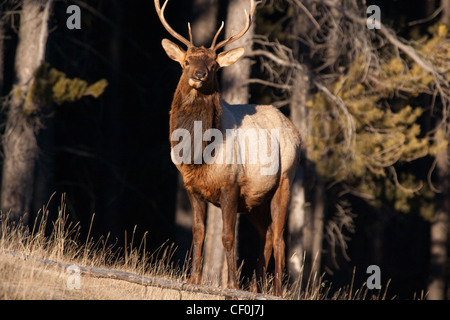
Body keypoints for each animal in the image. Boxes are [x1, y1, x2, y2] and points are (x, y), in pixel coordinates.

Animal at [153, 0, 300, 296]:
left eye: (213, 65)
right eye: (186, 62)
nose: (199, 75)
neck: (198, 154)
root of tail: (296, 132)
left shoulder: (231, 184)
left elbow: (228, 236)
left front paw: (231, 284)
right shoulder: (192, 187)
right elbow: (198, 232)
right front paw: (193, 279)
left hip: (285, 180)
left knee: (279, 238)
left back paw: (277, 291)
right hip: (256, 200)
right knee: (267, 235)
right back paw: (256, 287)